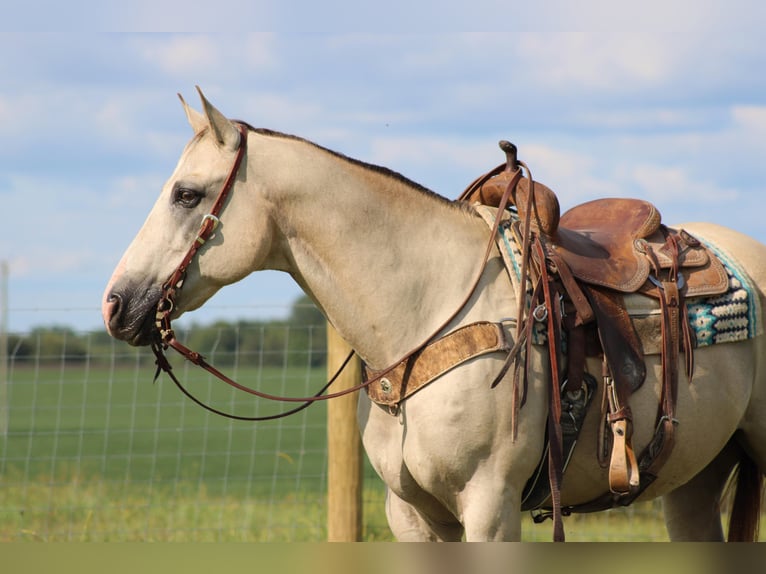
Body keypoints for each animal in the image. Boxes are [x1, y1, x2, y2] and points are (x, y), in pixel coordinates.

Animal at [102, 88, 766, 544]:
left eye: (186, 194)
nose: (116, 304)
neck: (425, 317)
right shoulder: (413, 515)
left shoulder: (490, 509)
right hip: (696, 479)